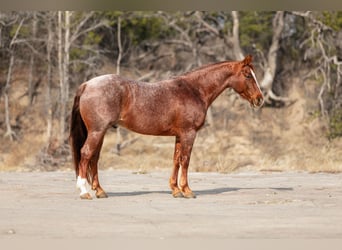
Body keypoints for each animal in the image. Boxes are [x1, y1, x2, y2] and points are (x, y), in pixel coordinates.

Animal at [68, 54, 264, 199]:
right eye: (248, 75)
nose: (260, 99)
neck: (194, 90)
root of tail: (87, 84)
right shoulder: (189, 134)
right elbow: (185, 160)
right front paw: (187, 191)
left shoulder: (179, 135)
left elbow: (176, 160)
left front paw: (175, 190)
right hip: (97, 131)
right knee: (86, 154)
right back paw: (84, 192)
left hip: (99, 133)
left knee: (94, 158)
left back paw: (100, 191)